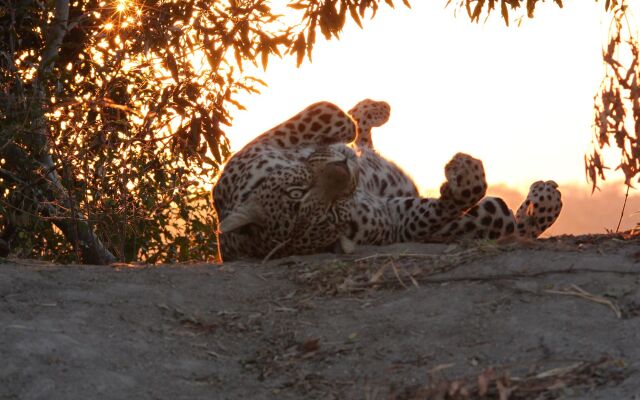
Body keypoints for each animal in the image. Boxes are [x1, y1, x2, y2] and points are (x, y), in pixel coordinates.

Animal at [212, 100, 562, 261]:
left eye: (297, 191)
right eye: (331, 213)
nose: (346, 167)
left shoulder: (262, 146)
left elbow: (332, 116)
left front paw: (346, 130)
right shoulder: (397, 222)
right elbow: (450, 202)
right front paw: (465, 174)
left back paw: (372, 113)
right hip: (490, 217)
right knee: (516, 223)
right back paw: (545, 197)